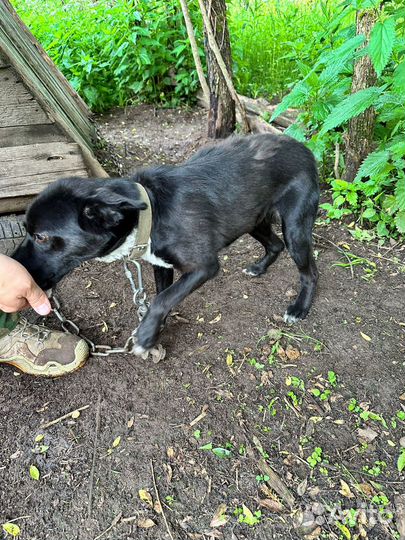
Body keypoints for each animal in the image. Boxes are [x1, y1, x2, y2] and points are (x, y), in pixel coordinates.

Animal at [13, 134, 318, 354]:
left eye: (40, 236)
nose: (13, 269)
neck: (151, 210)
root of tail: (303, 147)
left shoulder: (204, 267)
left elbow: (161, 299)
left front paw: (146, 334)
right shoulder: (162, 265)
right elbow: (163, 296)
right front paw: (155, 329)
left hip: (295, 229)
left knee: (310, 271)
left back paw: (299, 308)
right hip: (252, 221)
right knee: (275, 245)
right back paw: (259, 268)